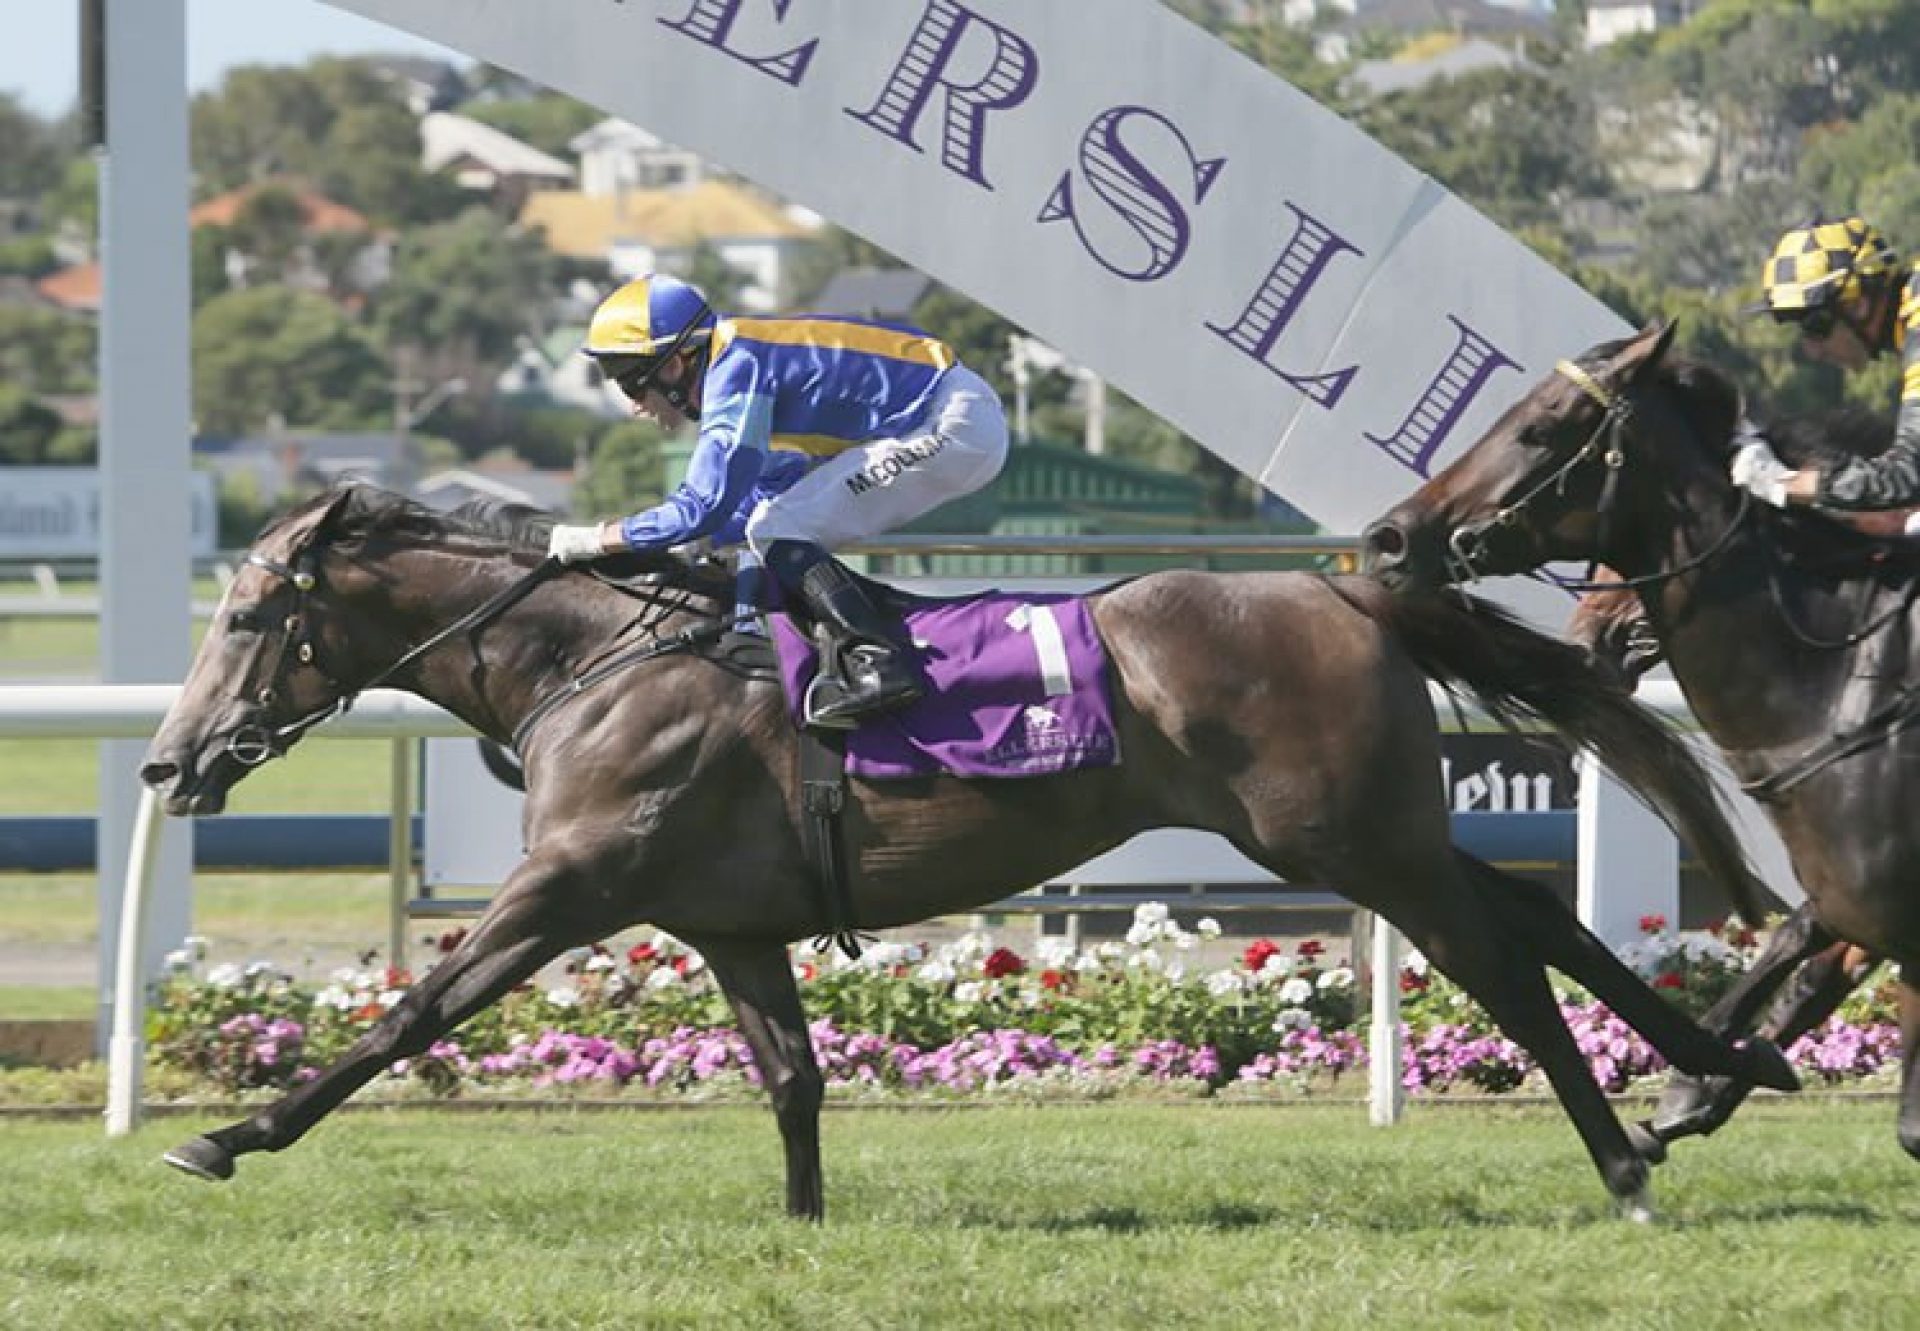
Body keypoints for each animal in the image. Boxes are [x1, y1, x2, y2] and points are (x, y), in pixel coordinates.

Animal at [139, 480, 1797, 1213]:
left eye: (248, 613)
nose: (167, 760)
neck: (590, 661)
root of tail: (1340, 588)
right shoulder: (728, 921)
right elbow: (793, 1077)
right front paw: (805, 1225)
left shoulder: (568, 885)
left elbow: (410, 1010)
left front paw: (225, 1134)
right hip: (1377, 830)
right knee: (1550, 925)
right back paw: (1723, 1066)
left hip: (1350, 836)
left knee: (1509, 961)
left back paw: (1630, 1153)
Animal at [1359, 316, 1920, 1160]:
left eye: (1539, 427)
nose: (1389, 537)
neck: (1837, 679)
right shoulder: (1854, 903)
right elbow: (1795, 958)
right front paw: (1689, 1093)